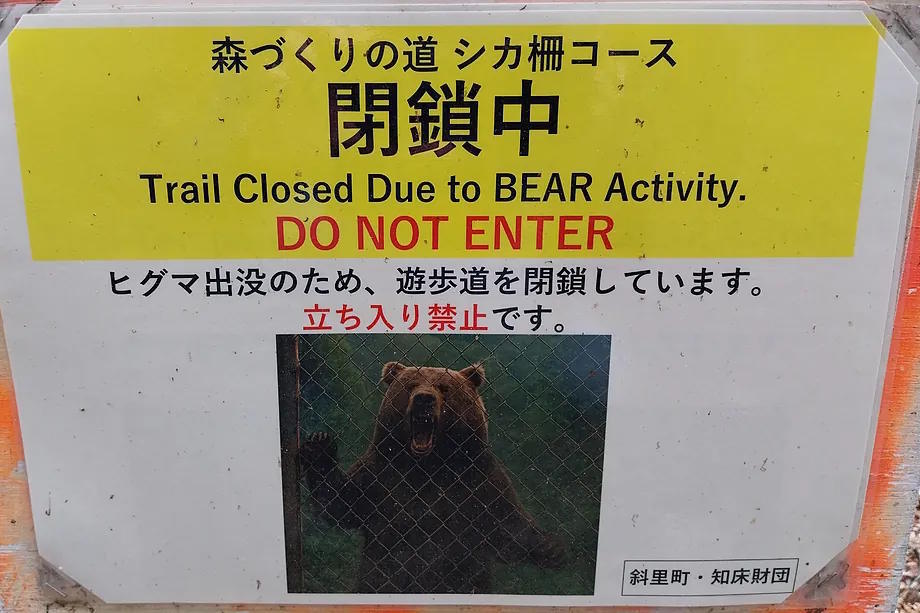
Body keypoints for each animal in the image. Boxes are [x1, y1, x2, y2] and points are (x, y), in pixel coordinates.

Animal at [301, 361, 566, 594]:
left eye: (444, 387)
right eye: (411, 385)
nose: (424, 399)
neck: (428, 465)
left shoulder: (478, 482)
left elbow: (507, 526)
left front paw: (551, 547)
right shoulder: (382, 475)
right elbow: (343, 503)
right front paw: (319, 443)